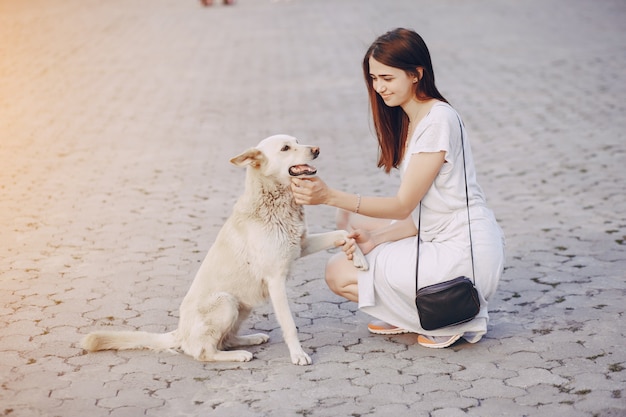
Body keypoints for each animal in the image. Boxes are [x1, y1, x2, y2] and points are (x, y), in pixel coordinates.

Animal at [80, 134, 368, 364]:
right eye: (286, 148)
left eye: (298, 141)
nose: (317, 149)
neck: (275, 203)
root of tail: (180, 331)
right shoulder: (275, 280)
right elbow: (289, 325)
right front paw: (298, 354)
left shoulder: (301, 245)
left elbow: (342, 234)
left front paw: (360, 259)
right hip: (226, 302)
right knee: (202, 352)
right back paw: (237, 355)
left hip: (244, 305)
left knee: (225, 339)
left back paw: (250, 340)